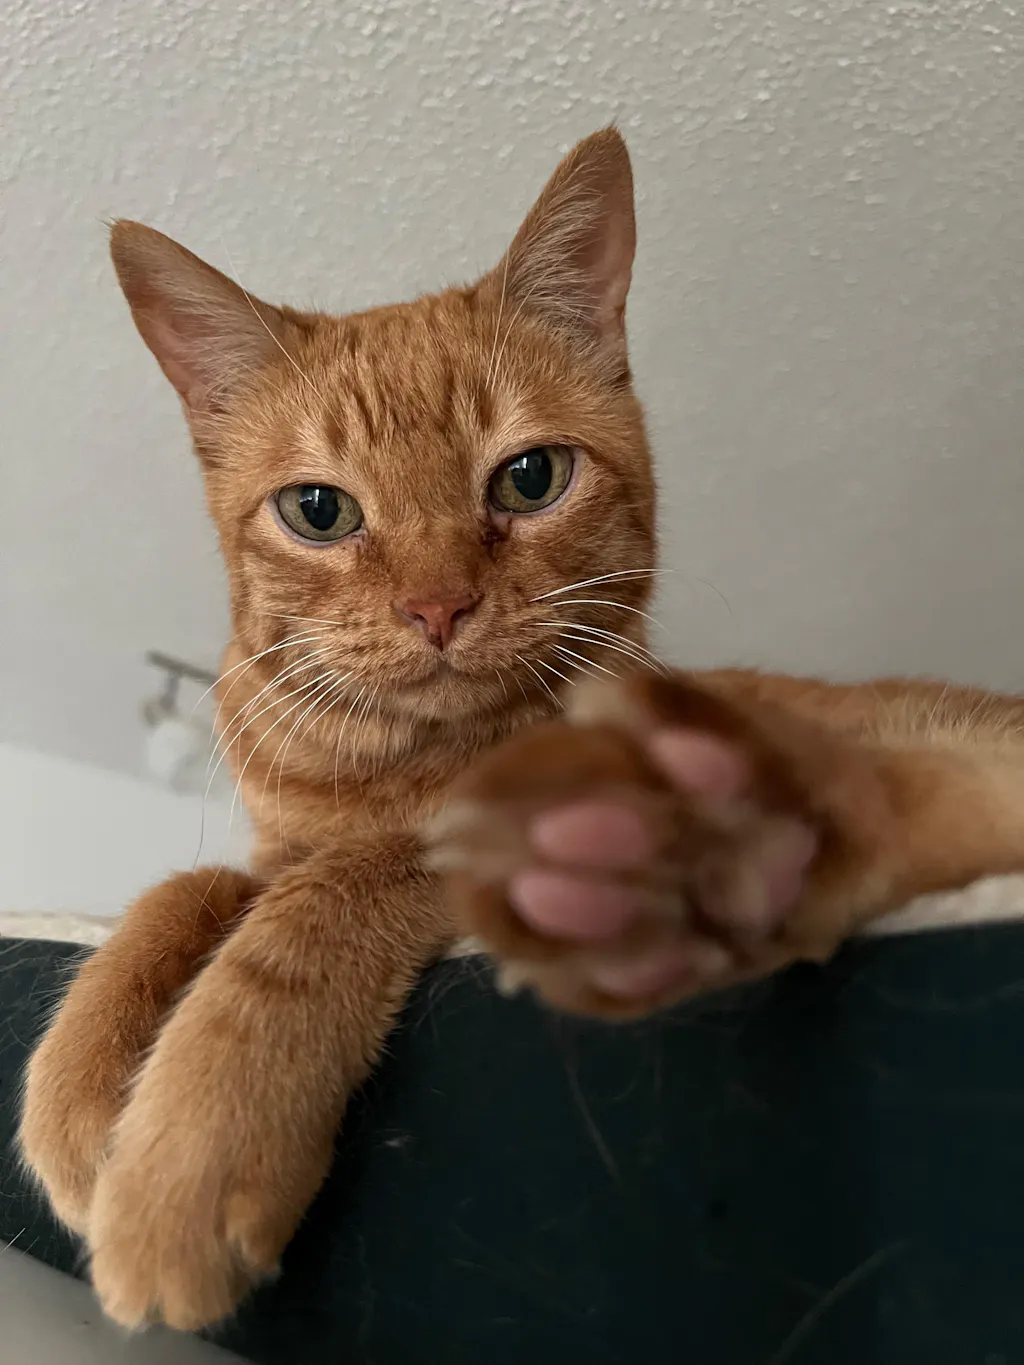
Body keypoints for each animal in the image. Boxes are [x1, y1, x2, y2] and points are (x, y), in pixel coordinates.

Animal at [19, 128, 1024, 1332]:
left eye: (531, 478)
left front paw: (185, 1153)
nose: (437, 606)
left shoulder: (427, 842)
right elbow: (184, 890)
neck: (393, 766)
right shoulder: (271, 847)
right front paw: (82, 1089)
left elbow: (318, 909)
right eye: (320, 511)